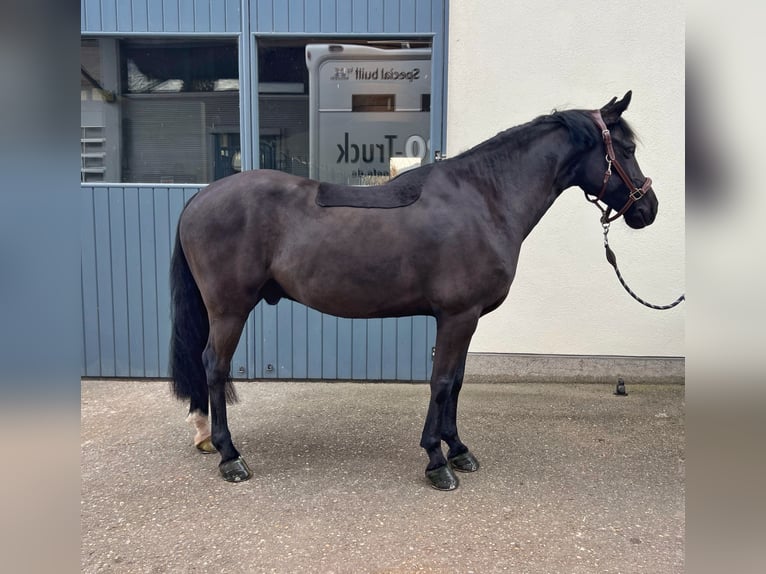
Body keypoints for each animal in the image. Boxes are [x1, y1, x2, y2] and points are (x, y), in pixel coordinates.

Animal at [170, 92, 660, 492]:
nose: (649, 209)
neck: (484, 198)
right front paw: (436, 461)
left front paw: (459, 450)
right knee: (214, 366)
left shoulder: (467, 318)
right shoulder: (457, 316)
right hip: (229, 310)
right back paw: (230, 455)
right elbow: (441, 383)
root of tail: (198, 199)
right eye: (628, 149)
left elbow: (456, 382)